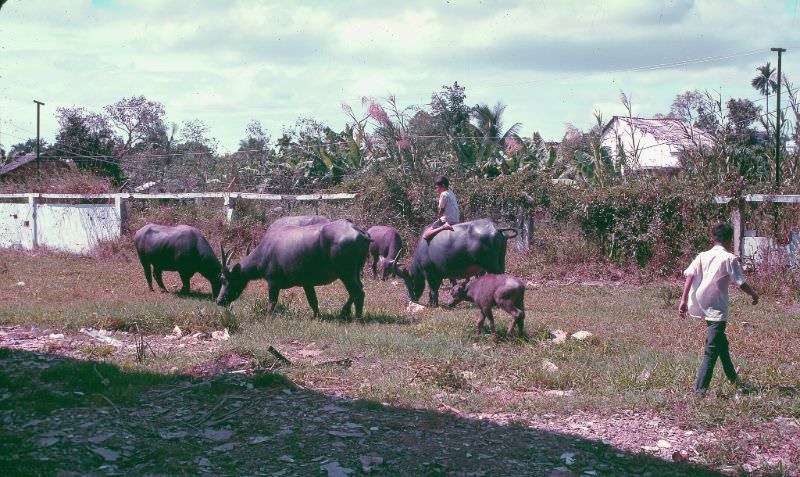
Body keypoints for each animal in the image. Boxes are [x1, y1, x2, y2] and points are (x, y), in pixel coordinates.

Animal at [216, 218, 372, 316]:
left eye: (224, 279)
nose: (219, 301)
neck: (265, 251)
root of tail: (359, 232)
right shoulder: (307, 283)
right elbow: (313, 301)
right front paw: (316, 316)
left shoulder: (272, 282)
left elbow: (271, 303)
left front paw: (267, 317)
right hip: (355, 272)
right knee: (357, 290)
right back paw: (344, 312)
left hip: (346, 272)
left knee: (358, 292)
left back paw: (357, 317)